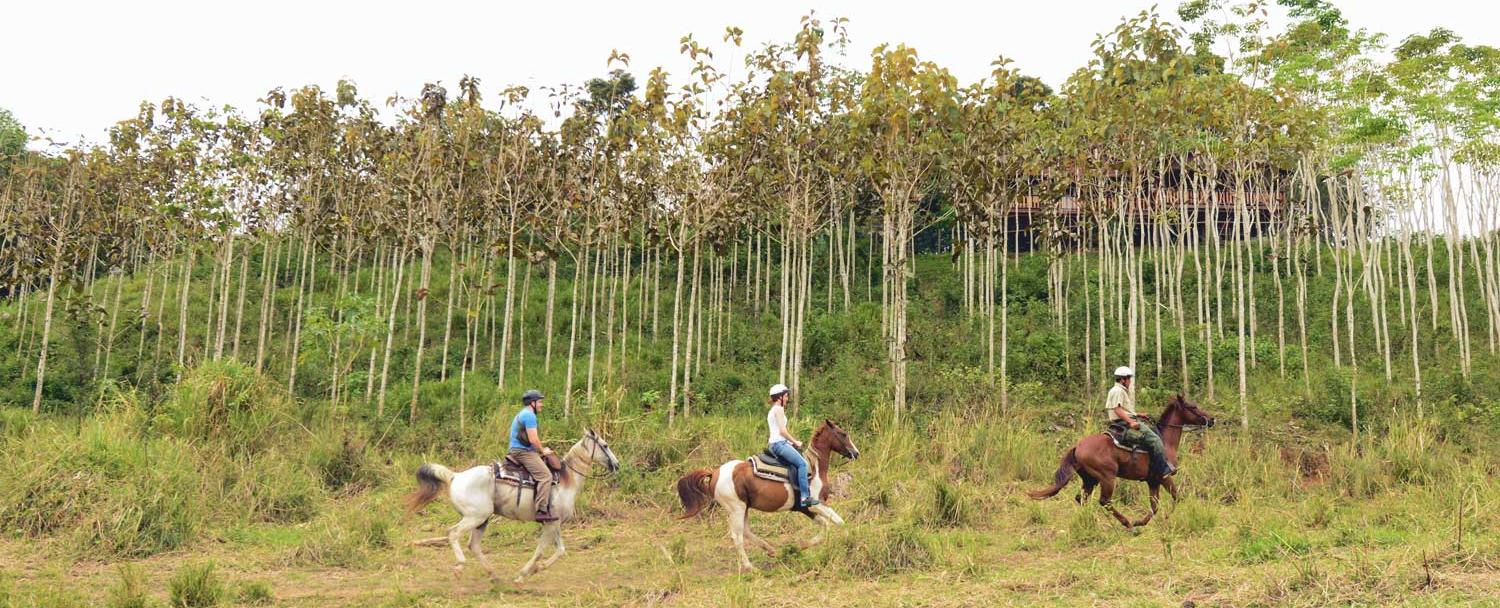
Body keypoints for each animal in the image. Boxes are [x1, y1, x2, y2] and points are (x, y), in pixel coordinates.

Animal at [402, 426, 618, 582]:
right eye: (605, 445)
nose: (616, 465)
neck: (566, 480)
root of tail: (455, 476)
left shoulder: (554, 523)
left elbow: (560, 551)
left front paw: (536, 570)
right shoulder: (551, 524)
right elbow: (540, 551)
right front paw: (523, 575)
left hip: (482, 520)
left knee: (474, 545)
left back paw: (493, 574)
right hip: (475, 517)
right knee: (453, 533)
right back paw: (460, 567)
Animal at [675, 420, 864, 570]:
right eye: (843, 434)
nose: (856, 453)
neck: (814, 468)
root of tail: (714, 472)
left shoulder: (805, 508)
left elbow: (825, 525)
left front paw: (801, 545)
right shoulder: (817, 503)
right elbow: (839, 522)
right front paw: (850, 541)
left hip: (743, 508)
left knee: (746, 531)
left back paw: (771, 551)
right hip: (736, 508)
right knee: (738, 536)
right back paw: (749, 566)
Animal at [1026, 393, 1212, 525]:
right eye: (1193, 406)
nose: (1212, 419)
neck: (1166, 441)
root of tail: (1078, 447)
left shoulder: (1153, 481)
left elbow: (1155, 506)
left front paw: (1141, 522)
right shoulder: (1164, 477)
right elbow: (1176, 497)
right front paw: (1162, 518)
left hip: (1090, 479)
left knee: (1081, 498)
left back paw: (1091, 520)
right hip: (1107, 478)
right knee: (1104, 501)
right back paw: (1126, 523)